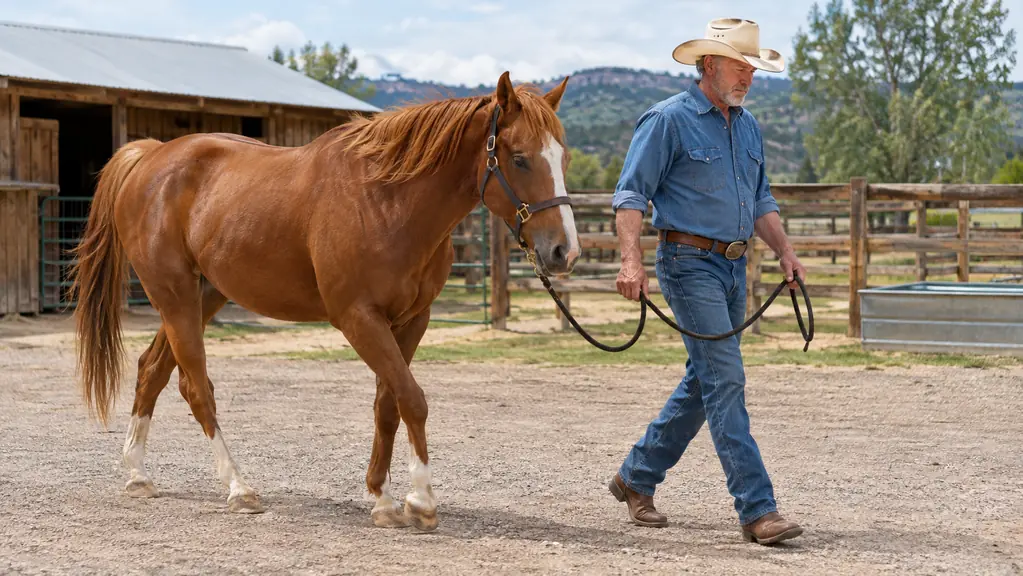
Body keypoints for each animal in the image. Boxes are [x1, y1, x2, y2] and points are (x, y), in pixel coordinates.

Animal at [68, 71, 580, 532]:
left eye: (564, 158)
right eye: (519, 158)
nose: (564, 252)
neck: (389, 200)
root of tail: (152, 156)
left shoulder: (412, 320)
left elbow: (388, 403)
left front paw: (382, 498)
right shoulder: (358, 318)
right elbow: (412, 399)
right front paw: (420, 500)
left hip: (202, 296)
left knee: (151, 370)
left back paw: (137, 474)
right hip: (173, 295)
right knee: (196, 388)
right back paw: (239, 488)